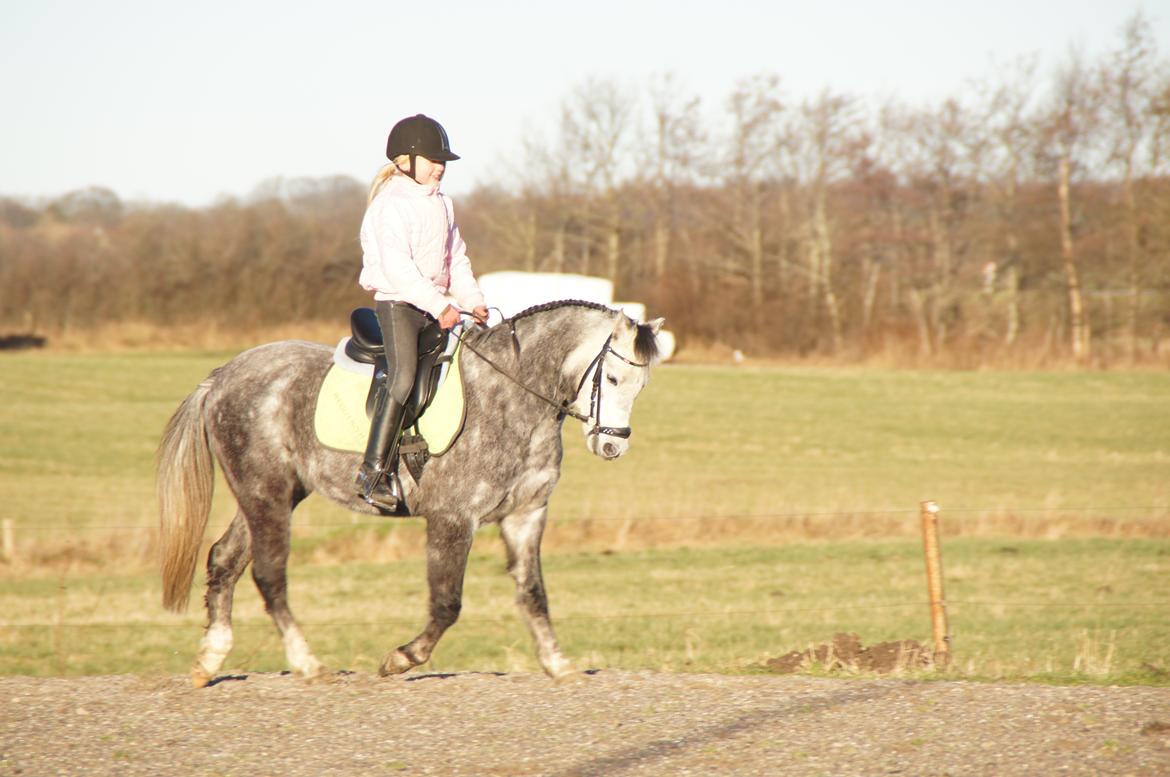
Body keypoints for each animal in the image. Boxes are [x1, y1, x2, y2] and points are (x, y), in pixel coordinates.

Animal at [157, 300, 664, 687]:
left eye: (642, 386)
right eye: (612, 379)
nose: (613, 446)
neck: (514, 395)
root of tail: (223, 375)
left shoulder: (526, 515)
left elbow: (534, 593)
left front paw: (559, 665)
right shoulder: (453, 519)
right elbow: (447, 603)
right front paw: (400, 659)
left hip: (270, 494)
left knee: (225, 559)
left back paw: (209, 660)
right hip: (266, 493)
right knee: (268, 574)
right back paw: (308, 664)